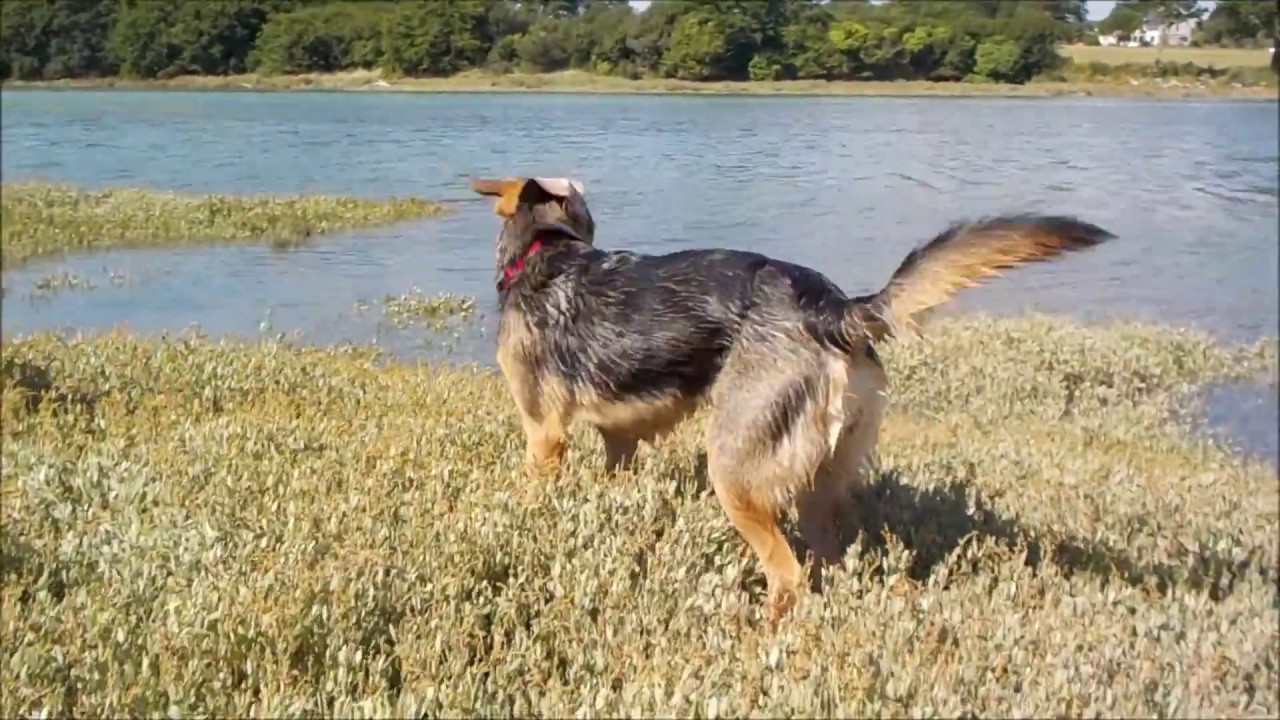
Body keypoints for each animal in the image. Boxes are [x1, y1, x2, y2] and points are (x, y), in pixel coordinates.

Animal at [468, 175, 1111, 617]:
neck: (546, 253)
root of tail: (834, 308)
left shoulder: (543, 431)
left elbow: (531, 483)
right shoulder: (619, 434)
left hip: (733, 472)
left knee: (789, 575)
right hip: (820, 479)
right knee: (823, 562)